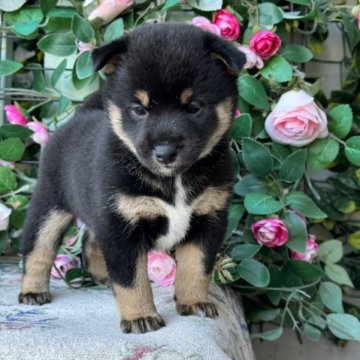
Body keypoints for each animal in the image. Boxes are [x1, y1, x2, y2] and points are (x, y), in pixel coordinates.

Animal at [18, 23, 246, 334]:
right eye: (139, 109)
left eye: (194, 107)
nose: (165, 152)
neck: (173, 180)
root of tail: (77, 117)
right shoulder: (122, 228)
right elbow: (131, 279)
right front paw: (140, 316)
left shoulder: (207, 220)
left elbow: (196, 268)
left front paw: (194, 302)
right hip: (50, 204)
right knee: (37, 247)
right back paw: (33, 290)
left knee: (90, 239)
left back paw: (102, 276)